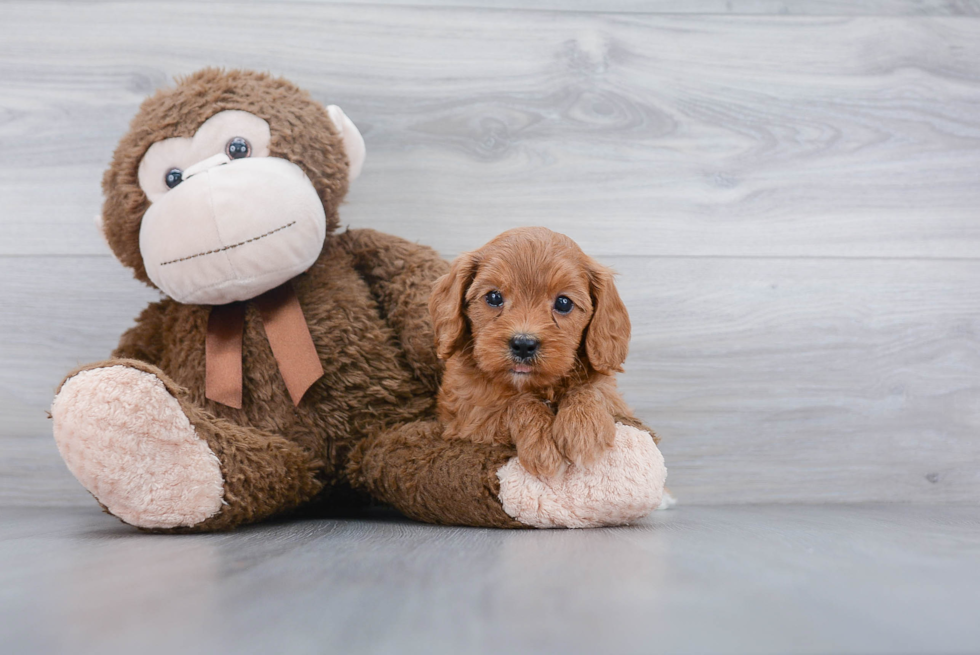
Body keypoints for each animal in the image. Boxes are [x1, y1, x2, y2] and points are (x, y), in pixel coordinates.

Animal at [426, 228, 652, 480]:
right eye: (494, 297)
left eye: (563, 303)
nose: (524, 344)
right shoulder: (468, 418)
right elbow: (515, 404)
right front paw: (542, 444)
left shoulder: (617, 402)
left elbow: (593, 388)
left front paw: (584, 428)